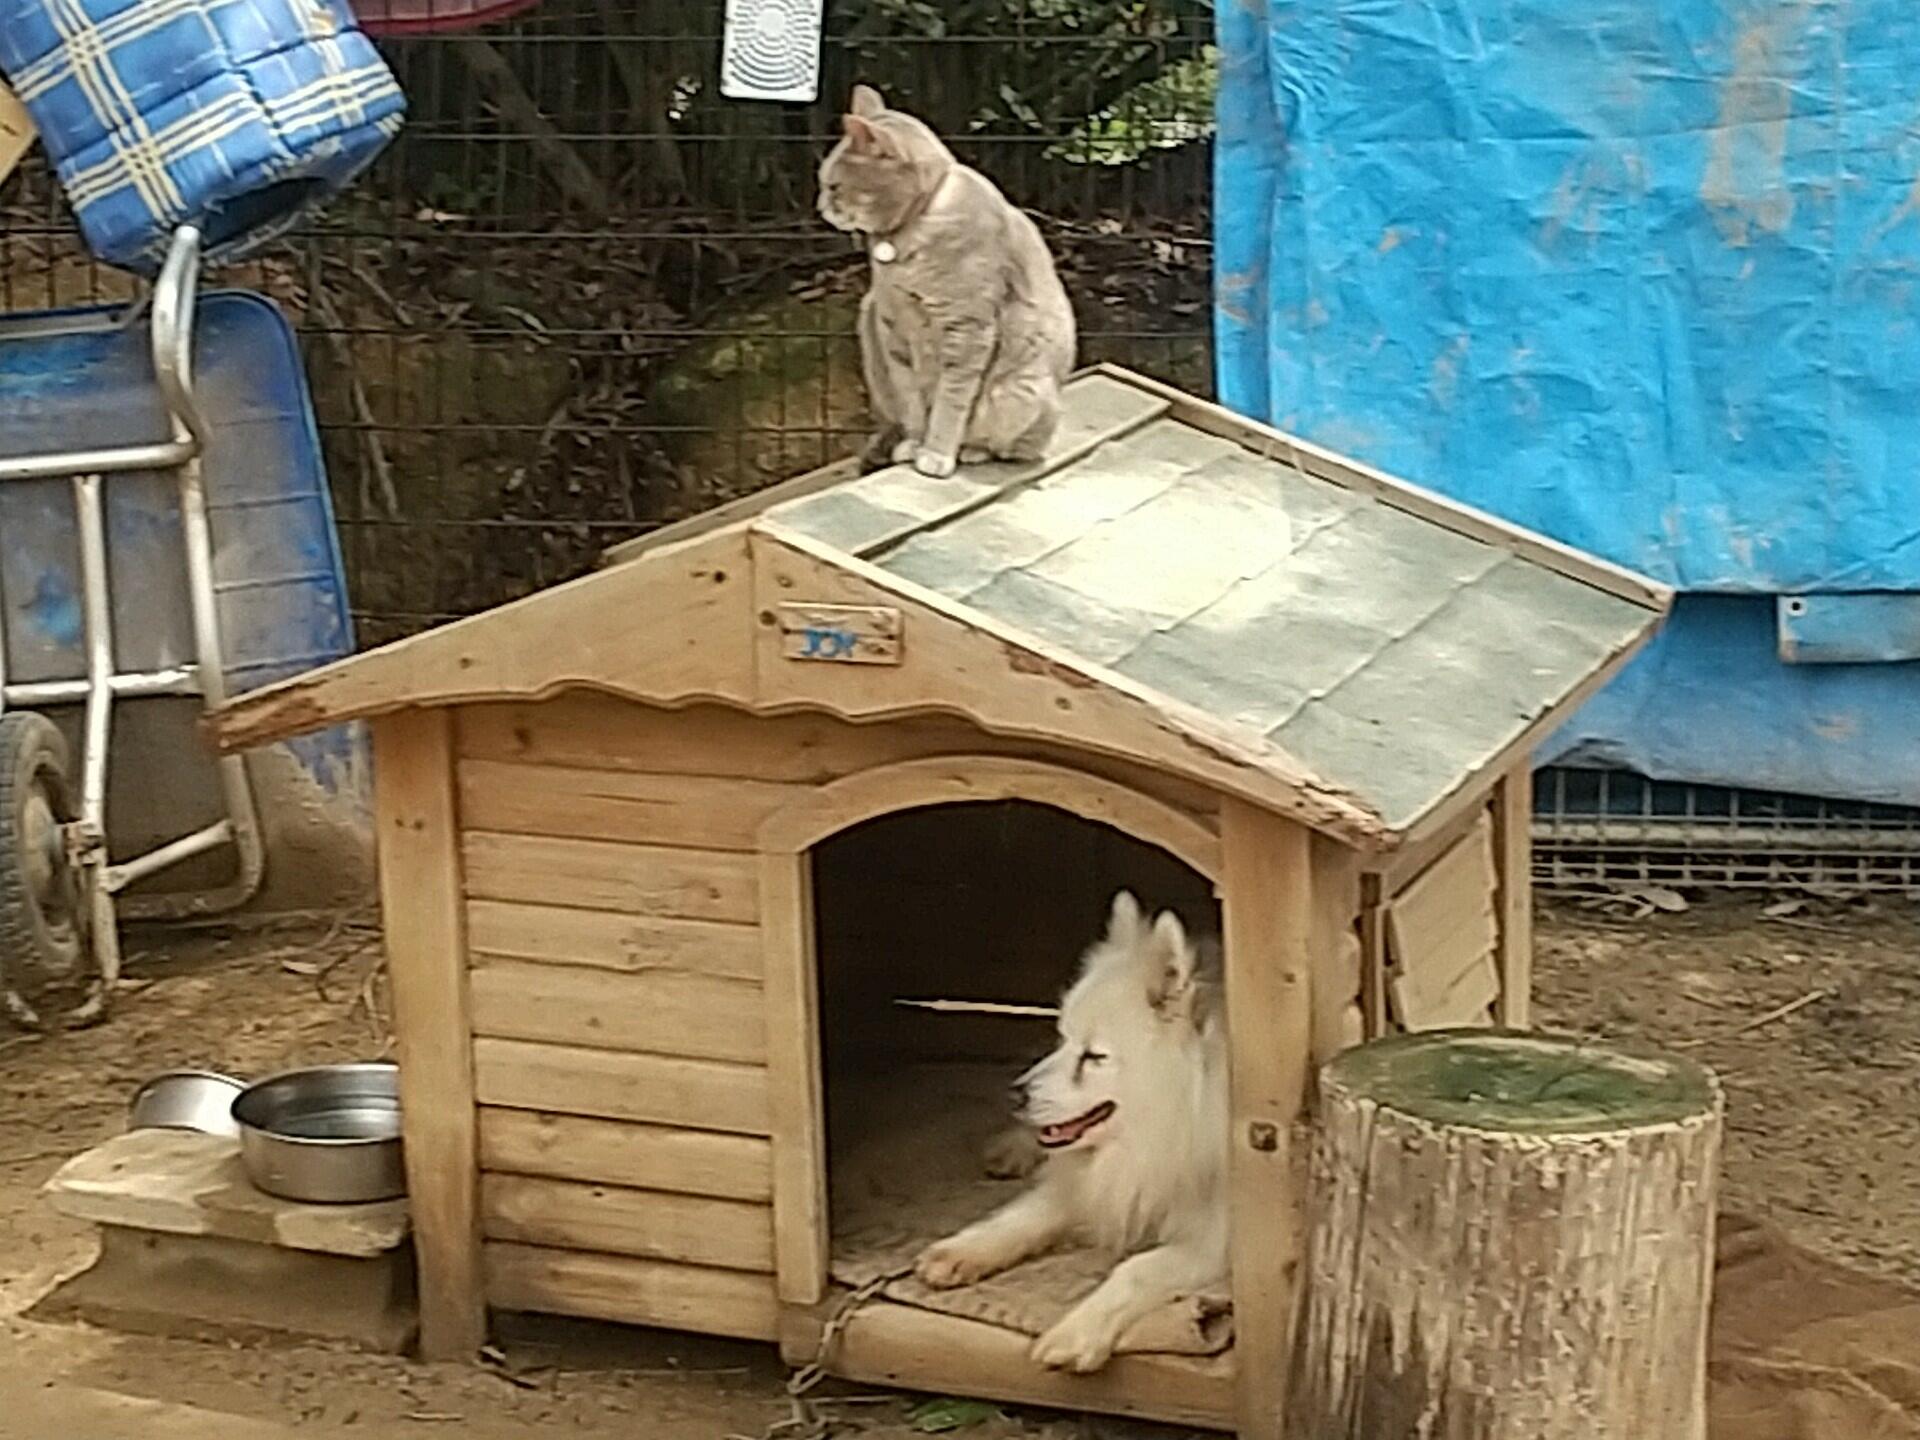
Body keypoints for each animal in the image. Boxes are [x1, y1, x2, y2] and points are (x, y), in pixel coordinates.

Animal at [913, 890, 1228, 1374]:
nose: (1015, 1094)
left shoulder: (1216, 1239)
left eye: (1094, 1056)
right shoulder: (1095, 1180)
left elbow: (1135, 1269)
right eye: (1062, 1038)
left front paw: (1076, 1332)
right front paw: (964, 1250)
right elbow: (1028, 1213)